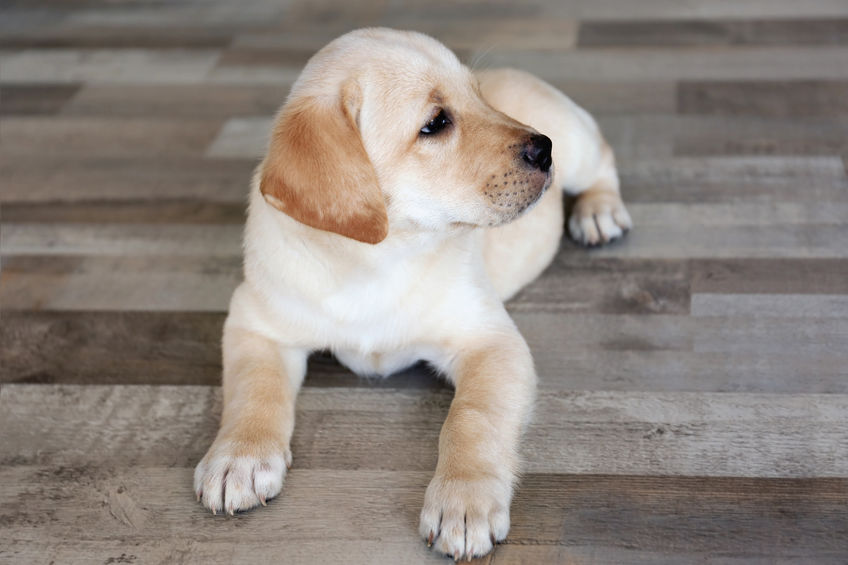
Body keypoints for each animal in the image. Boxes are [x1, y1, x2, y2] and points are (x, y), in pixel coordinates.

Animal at [194, 27, 628, 560]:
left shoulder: (491, 341)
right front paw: (238, 457)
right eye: (436, 123)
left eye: (477, 96)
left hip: (578, 144)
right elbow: (253, 388)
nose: (544, 149)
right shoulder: (254, 321)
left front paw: (464, 500)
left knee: (603, 158)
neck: (378, 259)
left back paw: (599, 211)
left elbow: (472, 418)